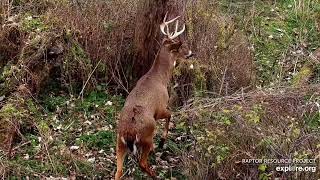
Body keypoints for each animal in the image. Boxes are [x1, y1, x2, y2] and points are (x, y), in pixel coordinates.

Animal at [115, 13, 192, 179]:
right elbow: (170, 114)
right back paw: (155, 173)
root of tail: (129, 132)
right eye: (180, 47)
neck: (159, 78)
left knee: (118, 171)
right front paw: (162, 142)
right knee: (143, 163)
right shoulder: (161, 108)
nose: (191, 53)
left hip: (119, 141)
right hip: (146, 136)